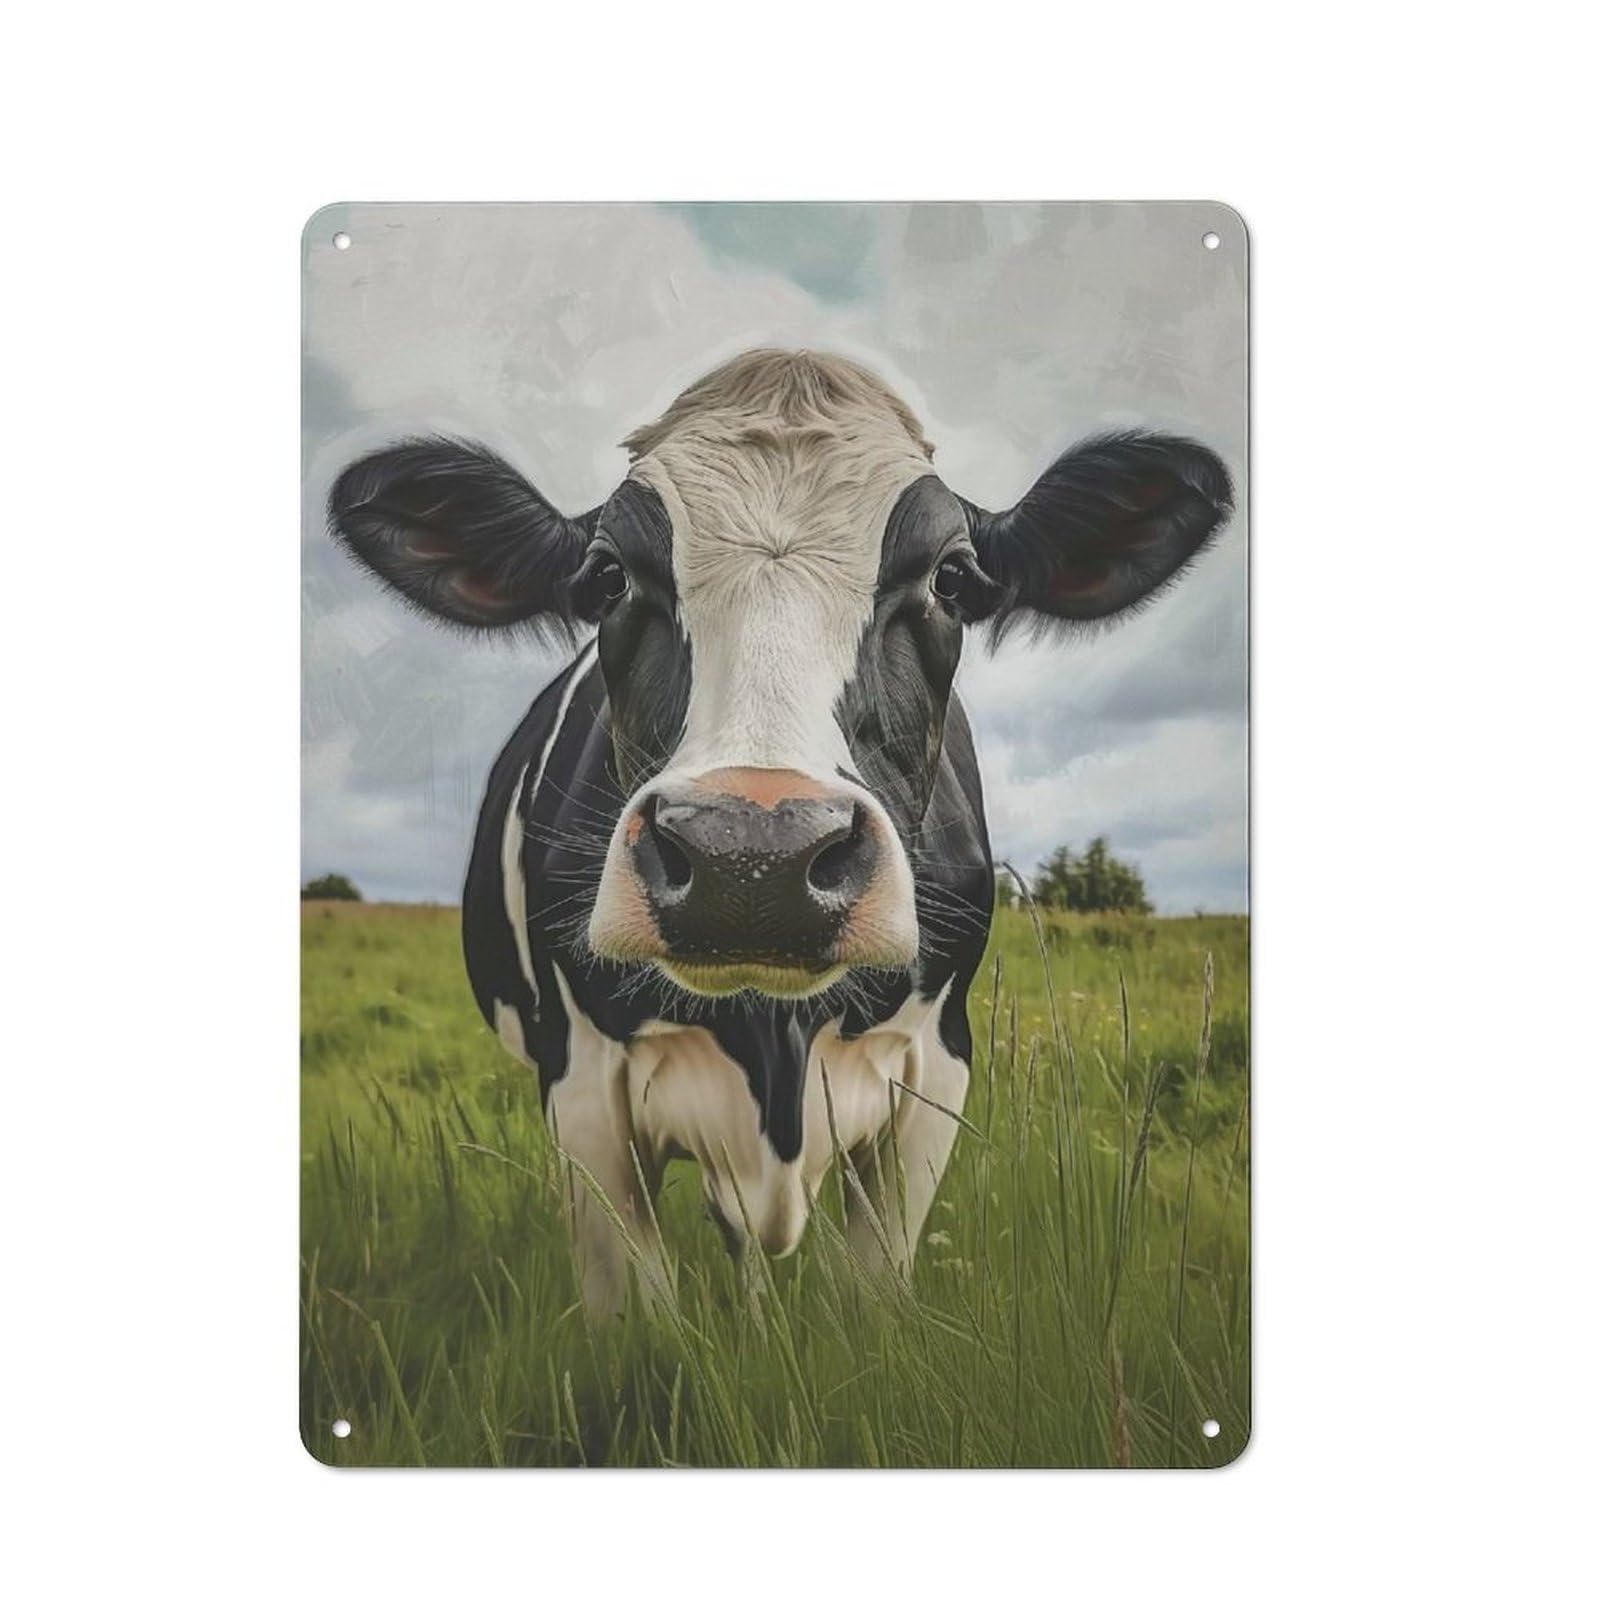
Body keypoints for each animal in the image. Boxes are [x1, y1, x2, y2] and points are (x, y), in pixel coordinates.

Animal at [328, 349, 1232, 1317]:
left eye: (951, 578)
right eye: (608, 576)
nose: (751, 859)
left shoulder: (939, 1065)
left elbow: (872, 1295)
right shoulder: (579, 1082)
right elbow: (639, 1320)